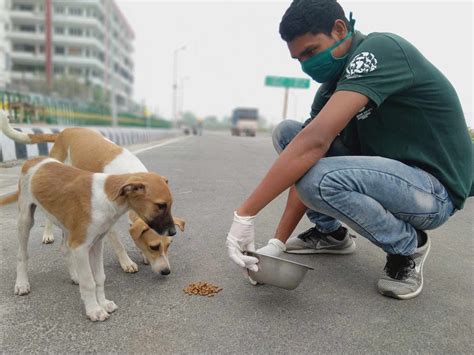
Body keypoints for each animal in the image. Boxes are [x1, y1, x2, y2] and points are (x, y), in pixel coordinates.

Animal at [0, 110, 184, 274]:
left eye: (169, 245)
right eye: (154, 246)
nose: (173, 231)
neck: (132, 175)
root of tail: (65, 131)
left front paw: (142, 254)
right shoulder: (109, 218)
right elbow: (118, 244)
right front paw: (126, 262)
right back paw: (48, 233)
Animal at [2, 157, 180, 322]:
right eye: (161, 205)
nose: (173, 232)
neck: (106, 198)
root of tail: (34, 160)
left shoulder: (96, 243)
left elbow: (99, 278)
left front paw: (103, 303)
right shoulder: (81, 247)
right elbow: (89, 282)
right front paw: (94, 310)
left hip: (67, 224)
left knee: (64, 249)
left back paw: (75, 276)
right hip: (25, 219)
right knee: (22, 255)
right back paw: (21, 283)